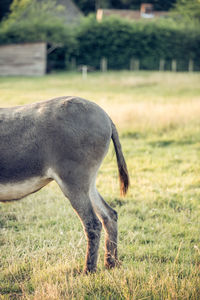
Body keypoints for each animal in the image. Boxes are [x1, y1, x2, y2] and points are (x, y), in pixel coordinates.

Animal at [0, 97, 130, 274]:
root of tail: (105, 115)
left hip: (73, 182)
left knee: (92, 223)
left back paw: (88, 271)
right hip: (88, 183)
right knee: (109, 215)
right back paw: (111, 264)